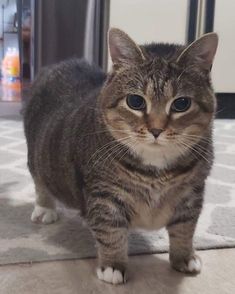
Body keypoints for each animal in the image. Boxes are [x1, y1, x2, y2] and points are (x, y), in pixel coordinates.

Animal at [23, 28, 218, 284]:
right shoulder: (105, 196)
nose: (156, 130)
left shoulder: (191, 194)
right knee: (40, 182)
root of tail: (60, 64)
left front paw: (184, 257)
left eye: (181, 104)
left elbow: (184, 229)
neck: (156, 170)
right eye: (135, 101)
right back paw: (45, 208)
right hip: (37, 156)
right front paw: (113, 265)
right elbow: (111, 232)